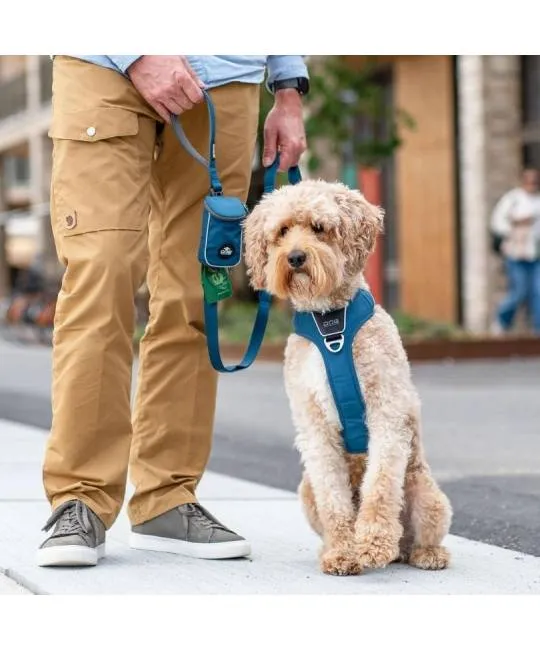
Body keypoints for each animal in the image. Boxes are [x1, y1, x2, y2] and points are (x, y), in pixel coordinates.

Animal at [245, 180, 452, 576]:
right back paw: (331, 547)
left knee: (419, 533)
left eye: (319, 227)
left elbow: (381, 486)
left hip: (426, 493)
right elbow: (334, 499)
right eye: (282, 231)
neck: (331, 324)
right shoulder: (315, 428)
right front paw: (344, 551)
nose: (295, 257)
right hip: (305, 490)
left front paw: (371, 544)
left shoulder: (386, 414)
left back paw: (424, 553)